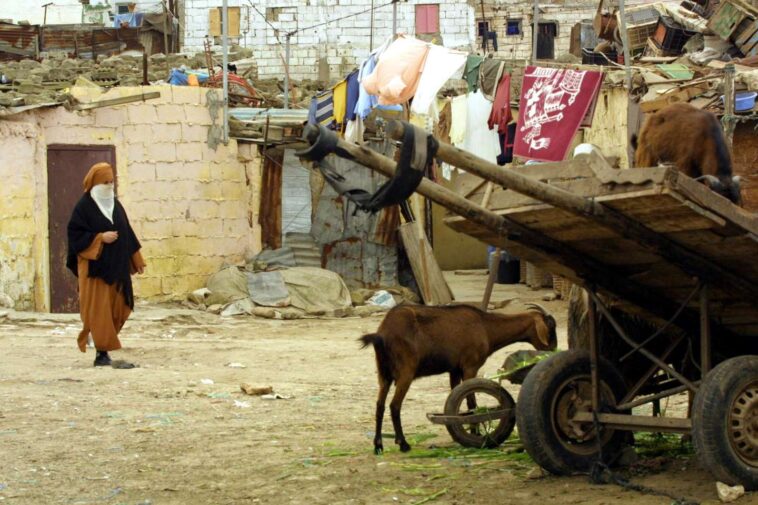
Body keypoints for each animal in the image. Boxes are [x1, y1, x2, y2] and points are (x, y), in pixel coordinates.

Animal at [356, 302, 560, 454]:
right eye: (550, 327)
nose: (553, 350)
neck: (486, 326)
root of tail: (381, 333)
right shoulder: (470, 366)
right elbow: (471, 402)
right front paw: (476, 433)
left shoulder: (454, 370)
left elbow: (456, 398)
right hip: (406, 372)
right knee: (394, 405)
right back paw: (403, 444)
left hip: (384, 374)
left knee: (380, 406)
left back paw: (378, 446)